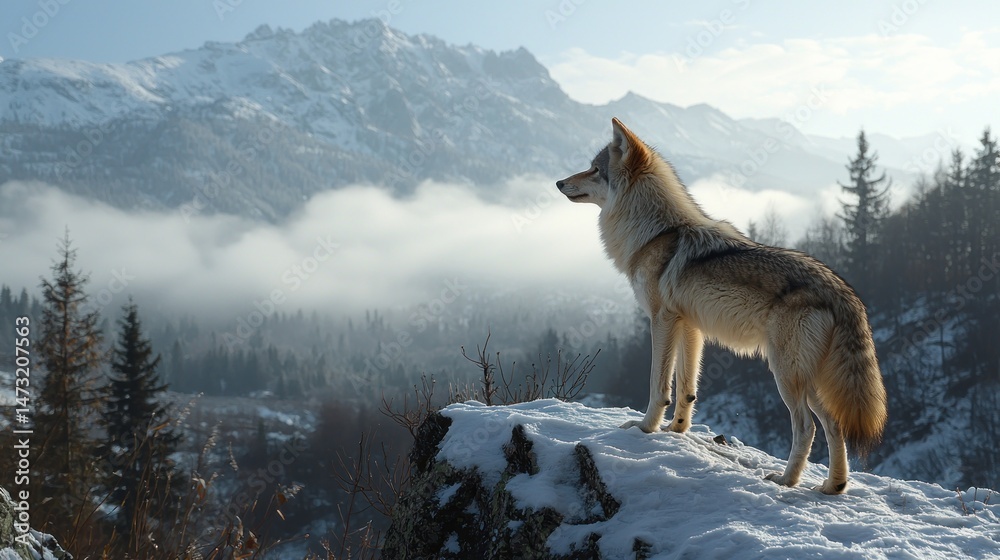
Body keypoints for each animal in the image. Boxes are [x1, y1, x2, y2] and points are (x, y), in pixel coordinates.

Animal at [556, 118, 887, 494]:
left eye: (595, 170)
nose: (559, 183)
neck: (656, 232)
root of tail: (843, 291)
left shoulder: (661, 320)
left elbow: (659, 386)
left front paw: (645, 429)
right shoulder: (689, 326)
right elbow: (686, 389)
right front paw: (676, 431)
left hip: (785, 374)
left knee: (807, 427)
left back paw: (786, 481)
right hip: (811, 381)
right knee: (834, 426)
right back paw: (832, 487)